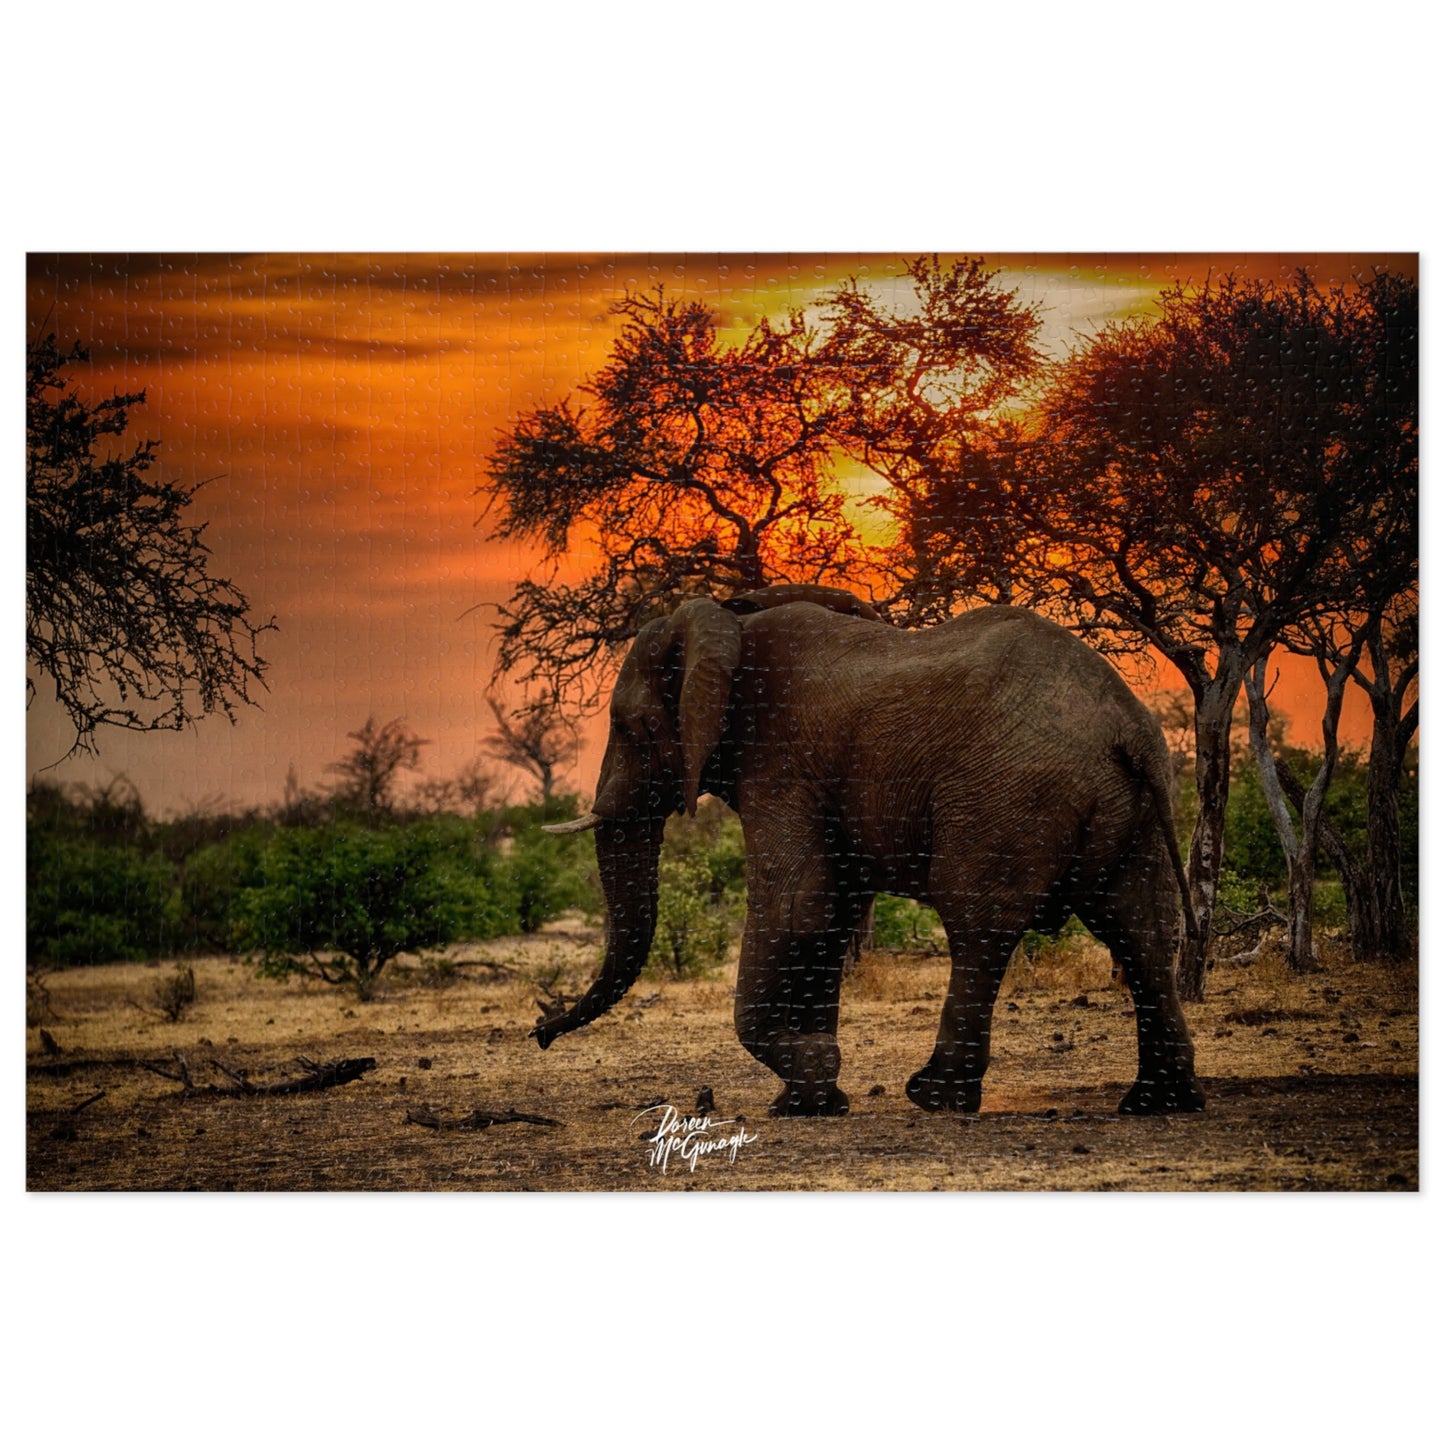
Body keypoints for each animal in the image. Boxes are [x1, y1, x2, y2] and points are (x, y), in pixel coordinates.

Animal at [535, 585, 1204, 1119]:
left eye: (633, 727)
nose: (541, 1033)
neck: (729, 620)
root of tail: (1130, 727)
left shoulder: (780, 761)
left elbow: (795, 904)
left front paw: (816, 1068)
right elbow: (829, 918)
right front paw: (806, 1103)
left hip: (1012, 795)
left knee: (978, 925)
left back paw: (934, 1096)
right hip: (1138, 807)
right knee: (1142, 928)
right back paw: (1158, 1102)